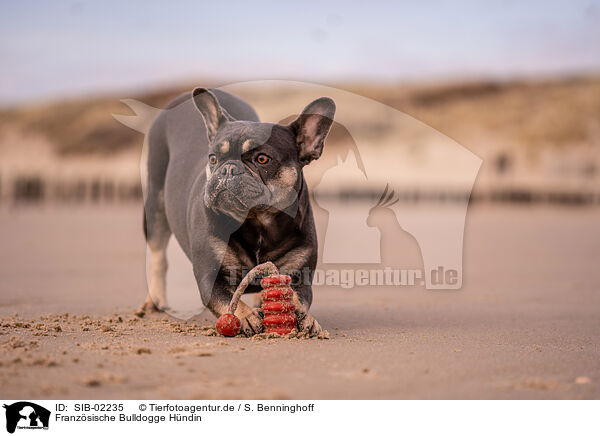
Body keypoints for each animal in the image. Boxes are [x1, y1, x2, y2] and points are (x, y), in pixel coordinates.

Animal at [142, 87, 336, 336]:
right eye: (213, 158)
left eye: (262, 159)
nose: (228, 169)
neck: (258, 222)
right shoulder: (209, 277)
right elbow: (226, 300)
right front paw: (246, 316)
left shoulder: (299, 276)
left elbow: (297, 297)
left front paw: (306, 318)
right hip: (155, 205)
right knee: (158, 256)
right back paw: (154, 301)